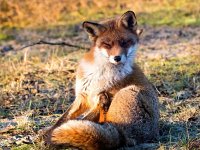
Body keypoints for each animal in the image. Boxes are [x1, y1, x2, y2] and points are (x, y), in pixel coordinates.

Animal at [43, 10, 159, 150]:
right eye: (107, 44)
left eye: (124, 43)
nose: (117, 58)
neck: (99, 72)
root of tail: (122, 136)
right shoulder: (83, 96)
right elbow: (63, 119)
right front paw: (48, 133)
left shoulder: (99, 97)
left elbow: (82, 119)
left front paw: (50, 137)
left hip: (127, 92)